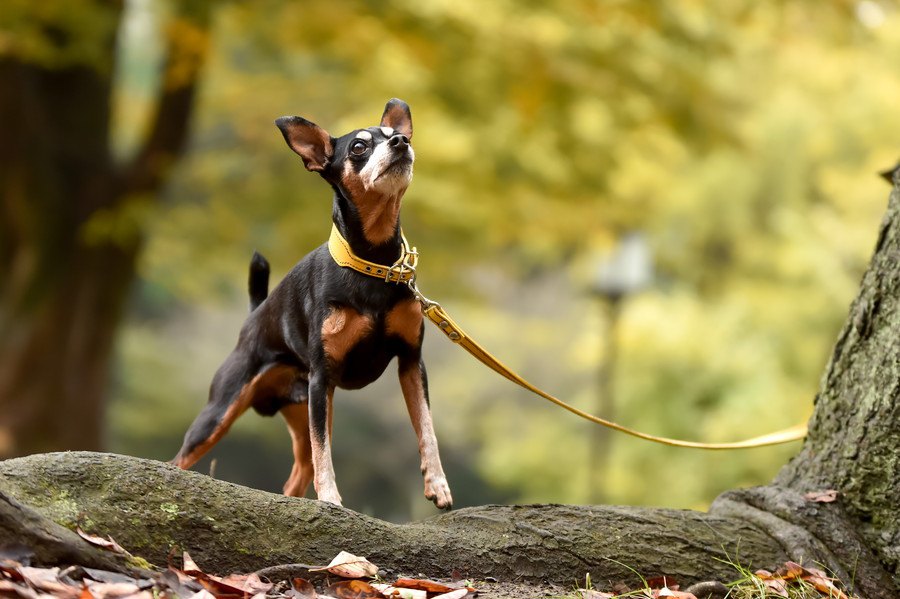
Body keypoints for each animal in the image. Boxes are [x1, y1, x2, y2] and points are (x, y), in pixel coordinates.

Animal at [173, 99, 454, 510]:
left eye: (397, 136)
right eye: (359, 147)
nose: (402, 142)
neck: (374, 263)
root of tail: (254, 316)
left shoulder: (411, 362)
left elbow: (427, 430)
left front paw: (437, 484)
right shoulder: (324, 377)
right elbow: (326, 452)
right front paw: (332, 500)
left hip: (300, 409)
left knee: (295, 477)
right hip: (222, 411)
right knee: (179, 460)